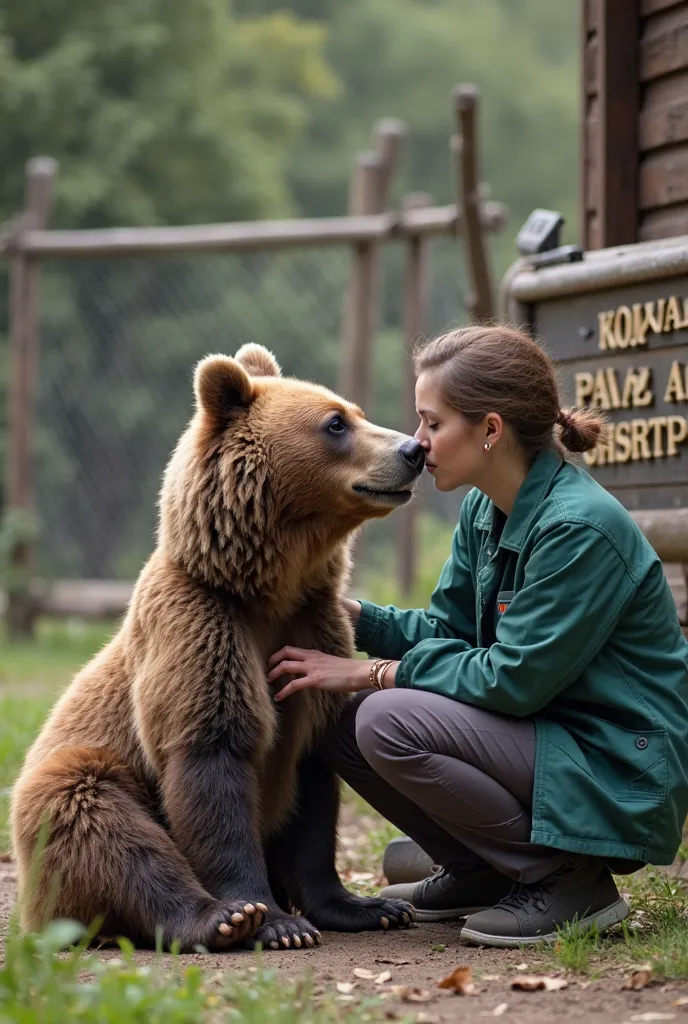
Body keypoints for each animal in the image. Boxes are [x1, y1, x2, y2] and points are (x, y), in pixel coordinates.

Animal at [12, 344, 423, 950]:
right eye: (335, 423)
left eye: (356, 411)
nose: (413, 449)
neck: (267, 587)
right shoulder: (201, 627)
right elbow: (213, 763)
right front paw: (270, 919)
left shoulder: (311, 629)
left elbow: (311, 786)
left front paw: (363, 905)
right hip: (69, 784)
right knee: (99, 821)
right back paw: (214, 917)